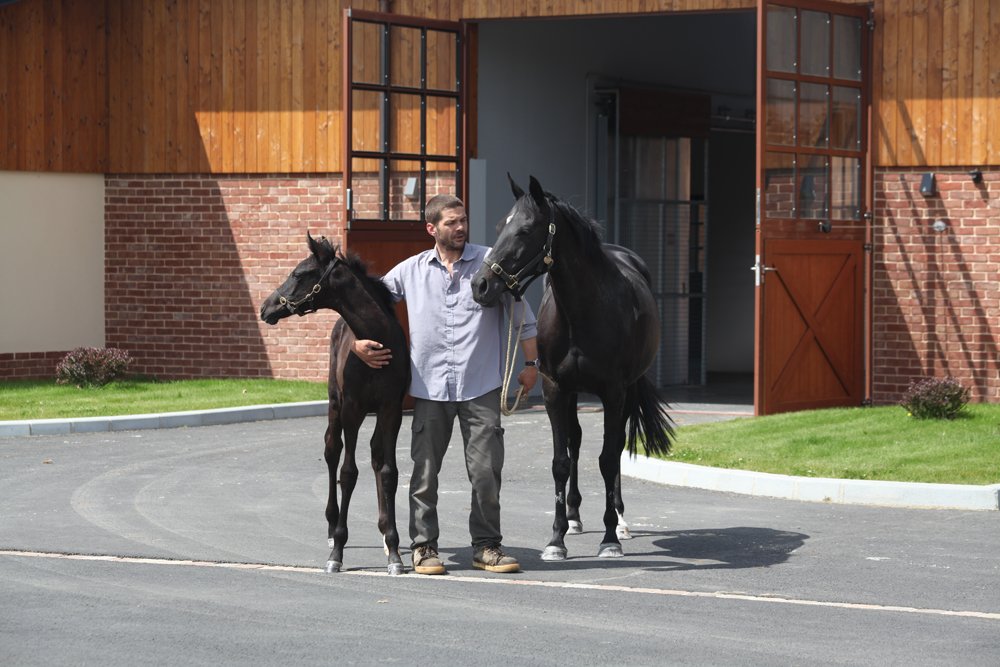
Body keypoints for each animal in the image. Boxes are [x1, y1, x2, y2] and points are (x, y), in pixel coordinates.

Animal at [260, 233, 410, 575]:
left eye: (298, 274)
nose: (265, 307)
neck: (377, 341)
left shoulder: (392, 408)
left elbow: (388, 471)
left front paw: (394, 550)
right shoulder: (352, 408)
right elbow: (347, 472)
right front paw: (337, 552)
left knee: (375, 454)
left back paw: (383, 533)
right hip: (334, 405)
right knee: (331, 451)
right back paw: (331, 528)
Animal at [471, 175, 674, 561]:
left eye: (525, 230)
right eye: (500, 226)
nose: (480, 285)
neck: (587, 308)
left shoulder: (613, 392)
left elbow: (608, 458)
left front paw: (609, 538)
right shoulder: (555, 389)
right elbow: (561, 461)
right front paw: (557, 538)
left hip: (626, 392)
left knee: (616, 446)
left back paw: (620, 521)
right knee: (577, 441)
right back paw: (575, 516)